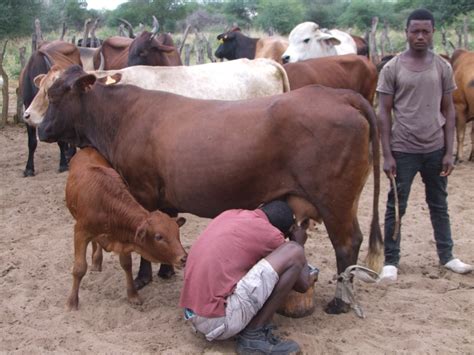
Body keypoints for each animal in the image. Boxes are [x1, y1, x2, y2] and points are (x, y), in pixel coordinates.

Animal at [65, 147, 187, 312]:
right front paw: (72, 302)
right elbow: (79, 268)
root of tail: (87, 148)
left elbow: (127, 265)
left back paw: (97, 260)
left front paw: (132, 295)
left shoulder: (123, 237)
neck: (106, 204)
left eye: (177, 232)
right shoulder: (80, 231)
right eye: (158, 237)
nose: (184, 257)